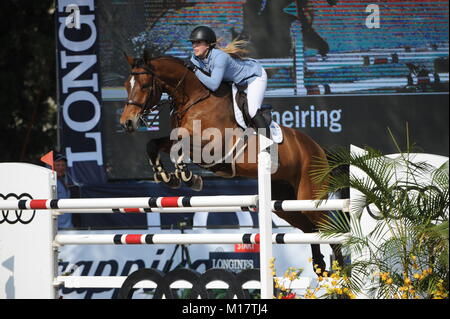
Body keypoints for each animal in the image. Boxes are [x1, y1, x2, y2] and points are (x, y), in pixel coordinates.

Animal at [118, 52, 342, 276]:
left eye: (144, 85)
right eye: (126, 85)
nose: (127, 123)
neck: (193, 99)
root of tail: (317, 148)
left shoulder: (214, 146)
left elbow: (181, 142)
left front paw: (188, 176)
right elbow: (154, 144)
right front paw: (167, 176)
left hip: (310, 197)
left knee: (330, 230)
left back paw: (341, 272)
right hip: (284, 203)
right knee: (310, 229)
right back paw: (321, 268)